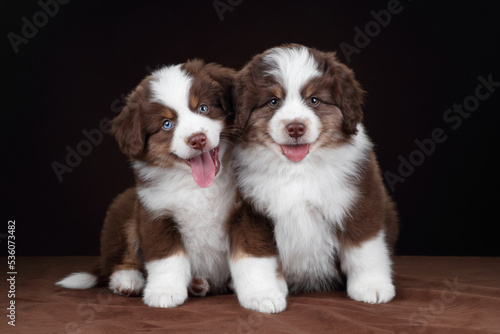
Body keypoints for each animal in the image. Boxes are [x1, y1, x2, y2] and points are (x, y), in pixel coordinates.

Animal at [57, 60, 238, 308]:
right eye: (167, 124)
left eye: (203, 108)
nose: (197, 139)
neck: (196, 186)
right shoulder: (155, 212)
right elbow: (166, 257)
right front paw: (165, 293)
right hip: (125, 208)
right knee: (119, 260)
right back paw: (129, 280)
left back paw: (200, 284)